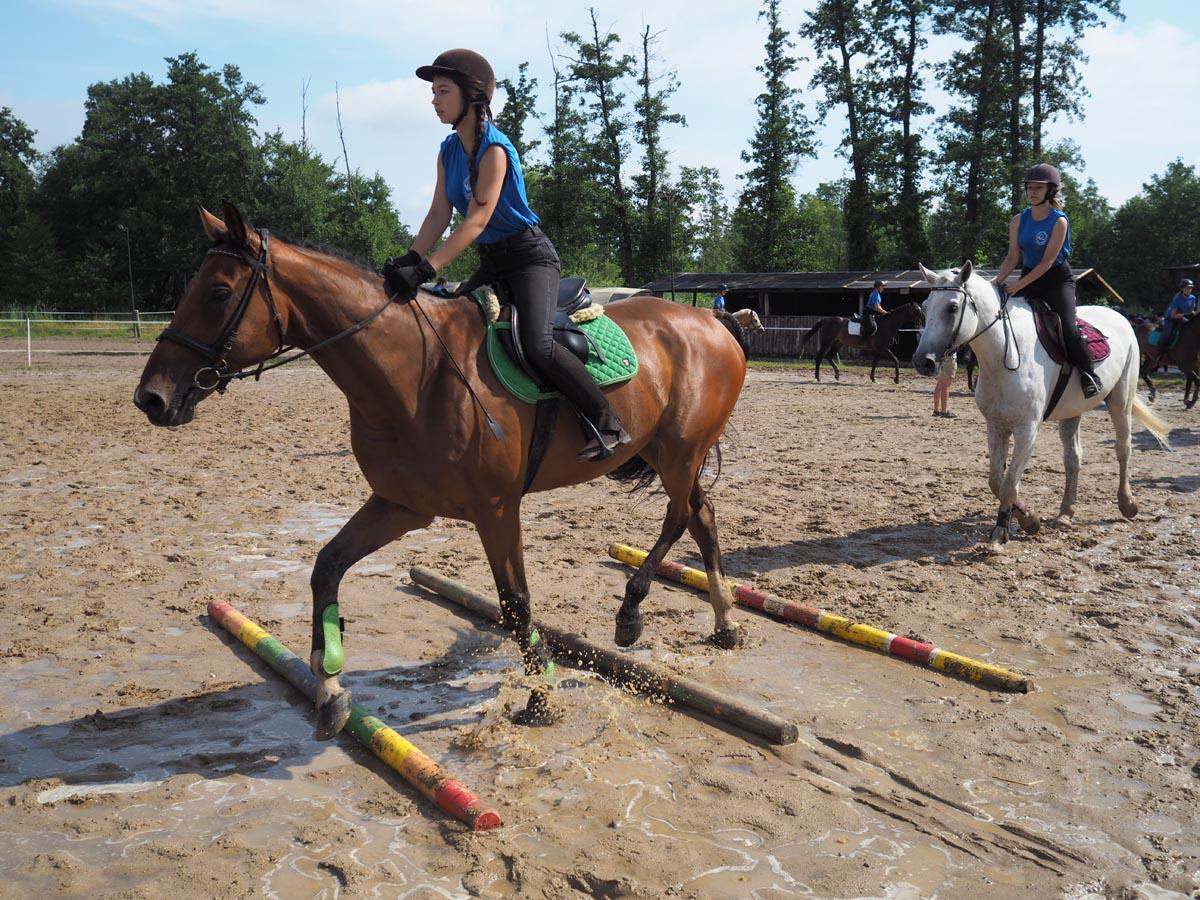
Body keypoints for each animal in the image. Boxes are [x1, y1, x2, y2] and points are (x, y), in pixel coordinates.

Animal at [134, 203, 749, 739]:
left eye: (218, 293)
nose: (152, 398)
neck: (415, 376)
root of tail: (711, 319)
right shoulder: (403, 505)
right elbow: (326, 566)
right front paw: (329, 687)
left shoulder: (496, 510)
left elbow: (515, 604)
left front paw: (540, 697)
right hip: (673, 454)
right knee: (702, 515)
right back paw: (722, 623)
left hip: (679, 451)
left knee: (680, 516)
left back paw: (633, 609)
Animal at [912, 262, 1170, 554]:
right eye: (925, 306)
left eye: (953, 307)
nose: (923, 361)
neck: (1005, 355)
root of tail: (1120, 317)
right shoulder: (996, 425)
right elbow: (997, 480)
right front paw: (1029, 519)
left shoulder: (1027, 430)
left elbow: (1009, 483)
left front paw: (1001, 533)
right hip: (1073, 413)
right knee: (1073, 459)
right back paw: (1066, 513)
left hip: (1120, 400)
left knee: (1123, 448)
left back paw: (1127, 504)